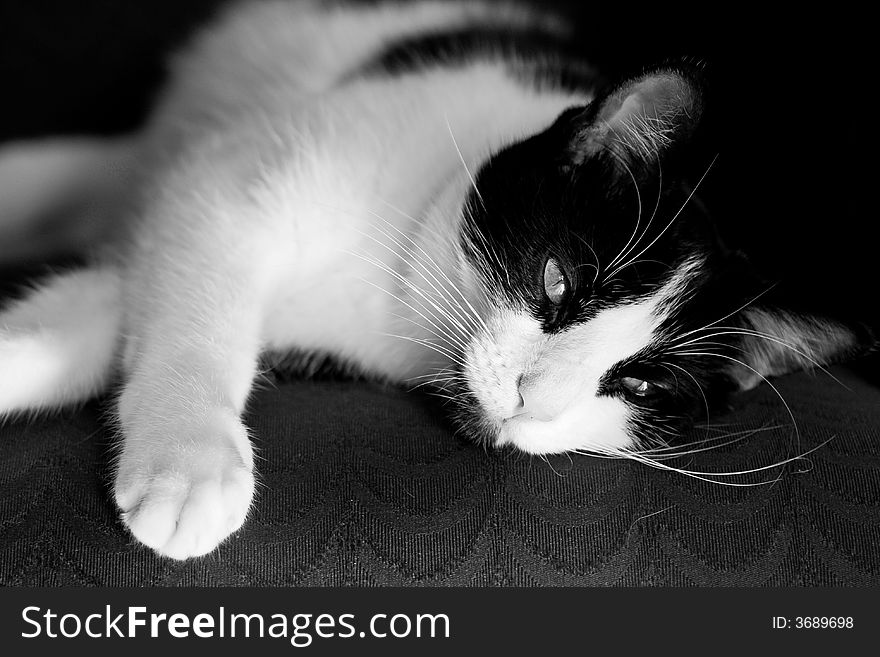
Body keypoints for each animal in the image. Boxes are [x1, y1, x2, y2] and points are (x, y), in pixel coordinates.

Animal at [0, 0, 868, 560]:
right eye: (557, 280)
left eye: (644, 386)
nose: (530, 400)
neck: (398, 296)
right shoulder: (223, 191)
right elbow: (197, 314)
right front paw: (191, 463)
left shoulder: (158, 249)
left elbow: (94, 315)